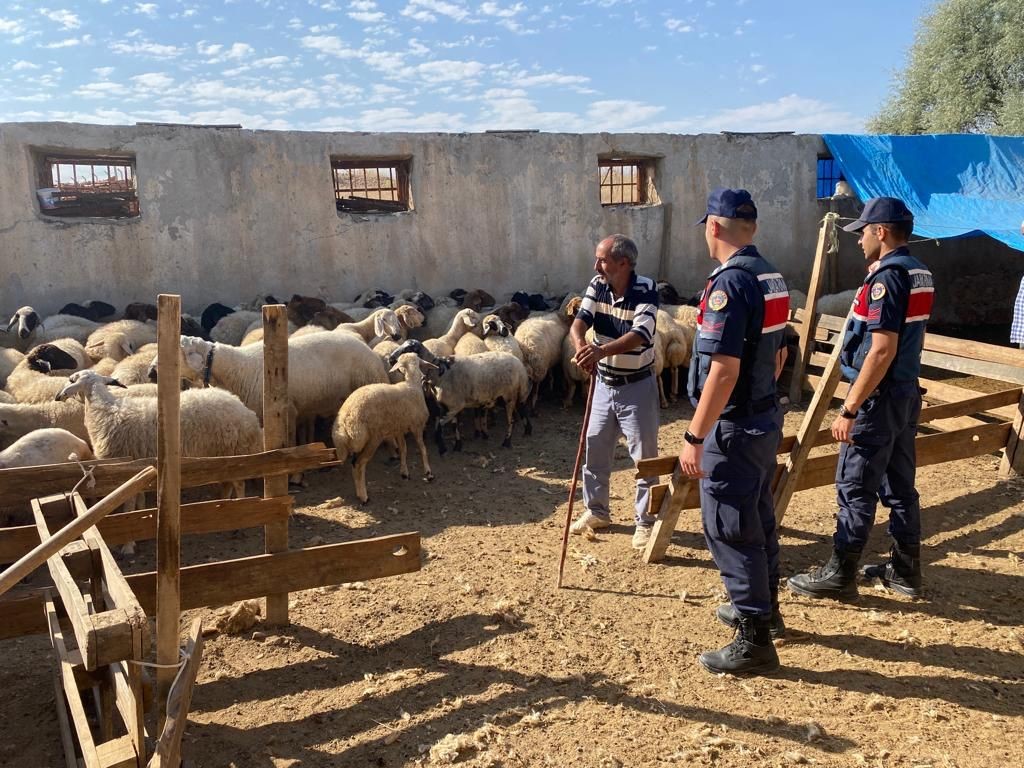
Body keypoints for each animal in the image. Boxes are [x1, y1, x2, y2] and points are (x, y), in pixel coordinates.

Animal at [331, 350, 436, 505]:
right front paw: (428, 473)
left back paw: (359, 493)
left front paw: (404, 472)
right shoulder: (417, 426)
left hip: (359, 442)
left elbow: (403, 450)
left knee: (354, 464)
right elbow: (422, 448)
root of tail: (344, 423)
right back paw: (364, 497)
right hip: (372, 438)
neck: (412, 384)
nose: (424, 377)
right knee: (359, 464)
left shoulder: (398, 429)